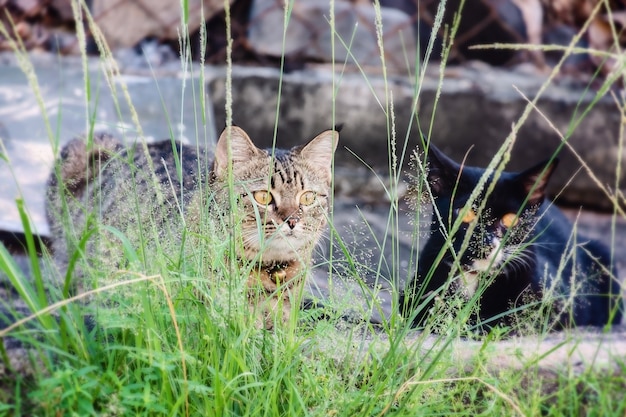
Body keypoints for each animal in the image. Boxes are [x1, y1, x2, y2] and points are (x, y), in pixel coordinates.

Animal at [398, 144, 620, 332]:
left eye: (510, 219)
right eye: (466, 213)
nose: (486, 241)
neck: (474, 278)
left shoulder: (556, 302)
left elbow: (512, 317)